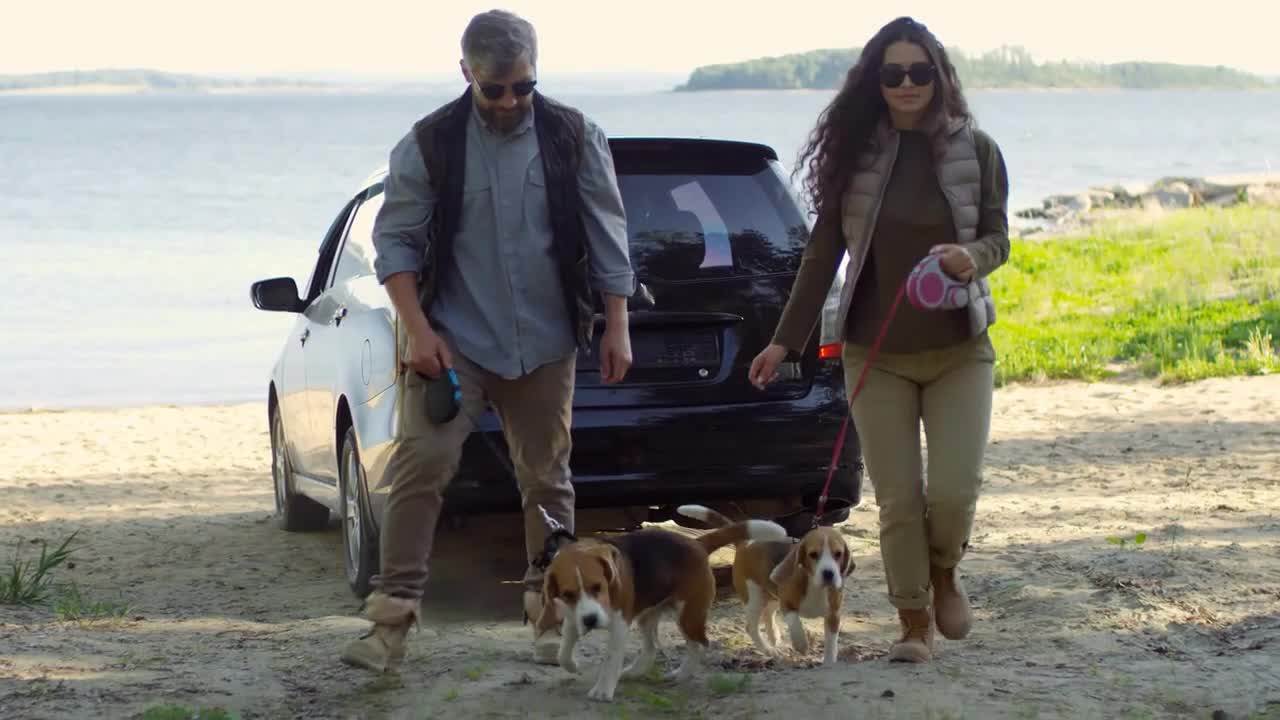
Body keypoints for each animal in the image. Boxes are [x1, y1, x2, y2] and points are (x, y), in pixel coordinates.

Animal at [532, 515, 788, 702]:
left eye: (597, 587)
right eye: (568, 594)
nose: (591, 620)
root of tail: (696, 543)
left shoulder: (619, 624)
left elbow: (611, 658)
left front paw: (603, 690)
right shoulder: (572, 617)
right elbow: (563, 651)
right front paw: (572, 665)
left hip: (688, 614)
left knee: (700, 644)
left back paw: (682, 674)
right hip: (649, 615)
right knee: (652, 648)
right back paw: (634, 672)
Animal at [675, 504, 855, 661]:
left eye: (838, 554)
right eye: (813, 554)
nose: (828, 574)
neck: (816, 586)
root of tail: (746, 543)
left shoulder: (833, 616)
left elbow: (831, 644)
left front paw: (829, 663)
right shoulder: (786, 604)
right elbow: (795, 622)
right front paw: (801, 644)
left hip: (769, 592)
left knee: (768, 613)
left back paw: (773, 636)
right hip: (754, 597)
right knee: (752, 627)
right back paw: (768, 649)